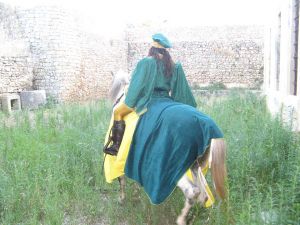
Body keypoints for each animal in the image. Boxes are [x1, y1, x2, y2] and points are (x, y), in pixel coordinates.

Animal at [105, 69, 227, 224]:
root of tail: (208, 128)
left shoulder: (119, 158)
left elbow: (121, 180)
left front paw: (122, 199)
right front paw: (136, 198)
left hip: (178, 169)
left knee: (193, 192)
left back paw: (181, 219)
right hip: (195, 167)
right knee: (204, 196)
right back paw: (193, 217)